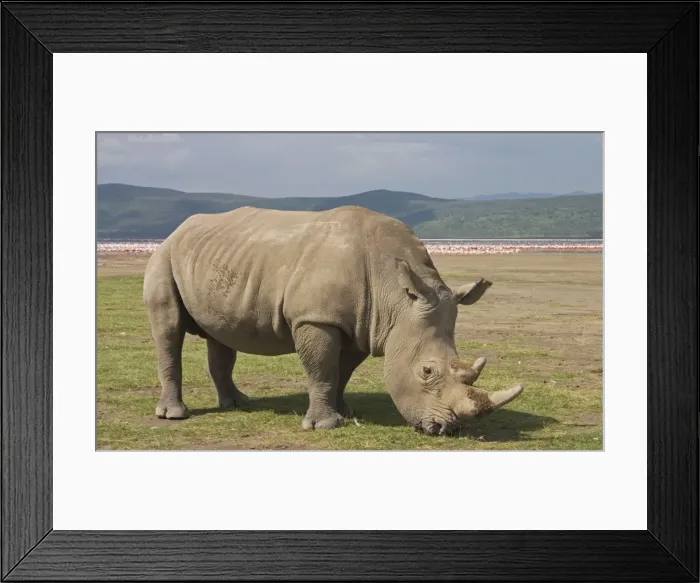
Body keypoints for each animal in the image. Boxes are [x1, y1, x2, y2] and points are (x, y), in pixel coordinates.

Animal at [143, 205, 523, 435]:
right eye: (427, 371)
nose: (448, 429)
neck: (397, 298)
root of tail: (177, 229)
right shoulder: (316, 318)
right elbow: (322, 370)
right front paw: (325, 425)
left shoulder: (366, 324)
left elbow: (343, 370)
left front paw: (347, 412)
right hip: (164, 256)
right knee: (169, 328)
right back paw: (175, 415)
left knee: (222, 336)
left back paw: (239, 404)